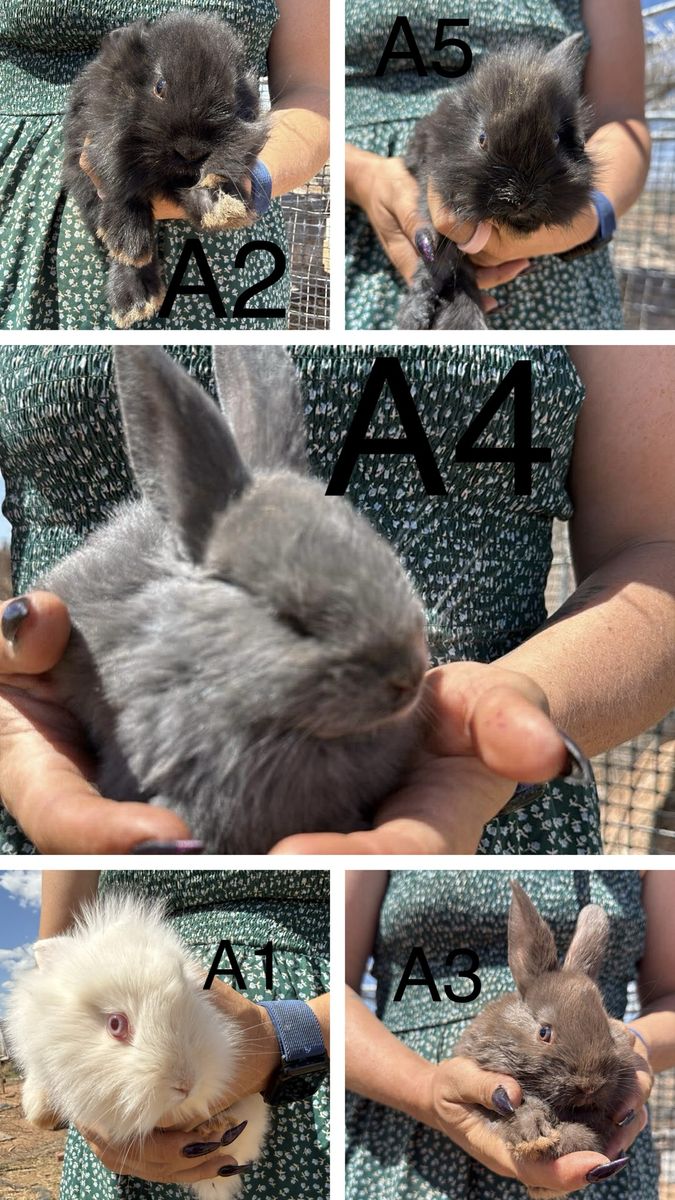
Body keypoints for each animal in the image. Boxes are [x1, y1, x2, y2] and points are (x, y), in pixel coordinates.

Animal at [63, 10, 269, 328]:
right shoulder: (91, 151)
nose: (191, 151)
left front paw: (222, 208)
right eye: (159, 86)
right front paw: (130, 245)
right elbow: (119, 186)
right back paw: (135, 298)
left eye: (235, 96)